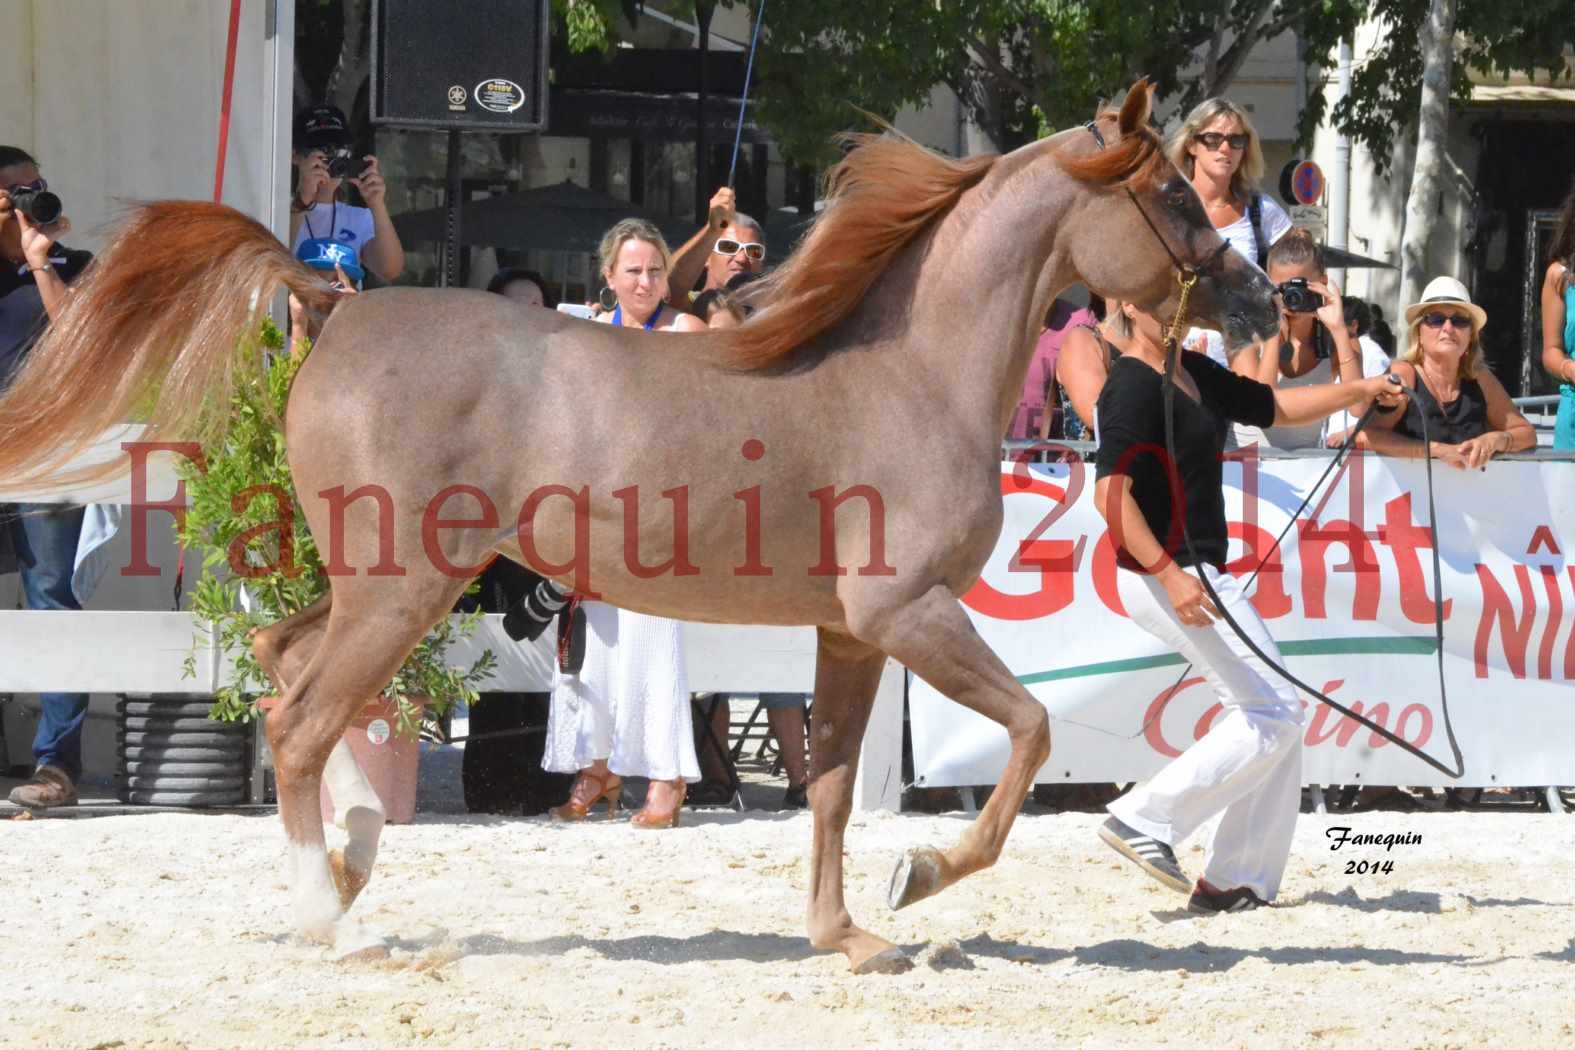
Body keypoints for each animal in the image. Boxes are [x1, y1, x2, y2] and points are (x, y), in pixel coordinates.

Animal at [0, 84, 1278, 976]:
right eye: (1175, 195)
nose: (1267, 300)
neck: (908, 373)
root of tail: (334, 306)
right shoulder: (906, 614)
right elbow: (1027, 730)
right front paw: (921, 874)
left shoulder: (850, 635)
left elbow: (828, 786)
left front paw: (847, 935)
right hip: (401, 590)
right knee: (301, 721)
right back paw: (337, 920)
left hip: (382, 585)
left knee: (279, 668)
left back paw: (351, 863)